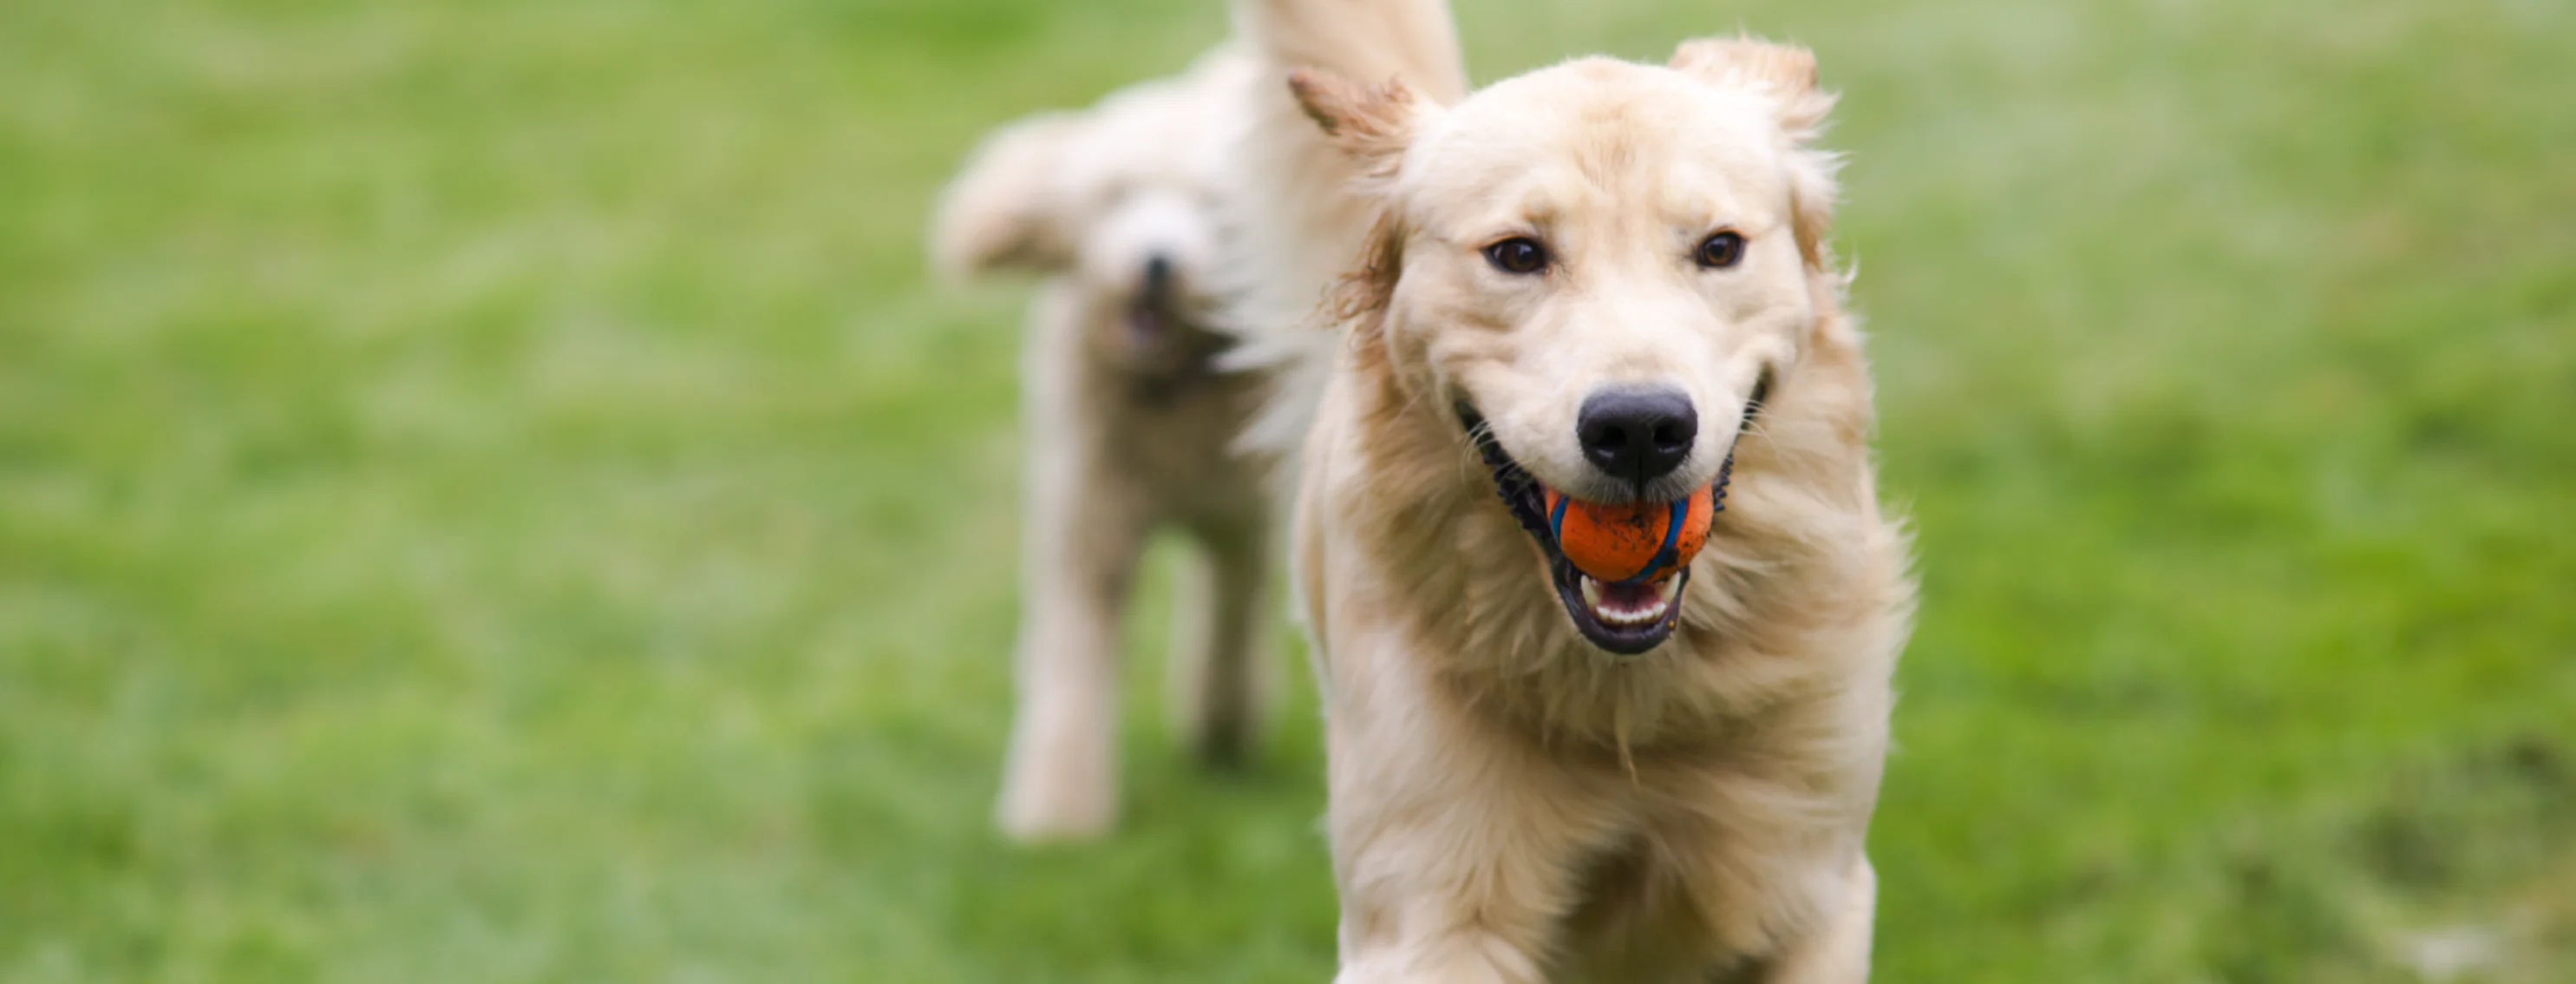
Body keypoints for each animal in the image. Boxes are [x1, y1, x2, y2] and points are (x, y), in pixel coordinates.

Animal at [938, 49, 1278, 839]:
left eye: (1209, 208)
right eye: (1118, 197)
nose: (1157, 264)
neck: (1170, 389)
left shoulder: (1241, 518)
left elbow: (1230, 619)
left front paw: (1221, 728)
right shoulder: (1086, 520)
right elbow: (1072, 658)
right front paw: (1057, 818)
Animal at [1220, 0, 1916, 979]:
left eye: (1719, 248)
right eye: (1518, 253)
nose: (1640, 428)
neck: (1630, 699)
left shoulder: (1809, 886)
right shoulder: (1430, 913)